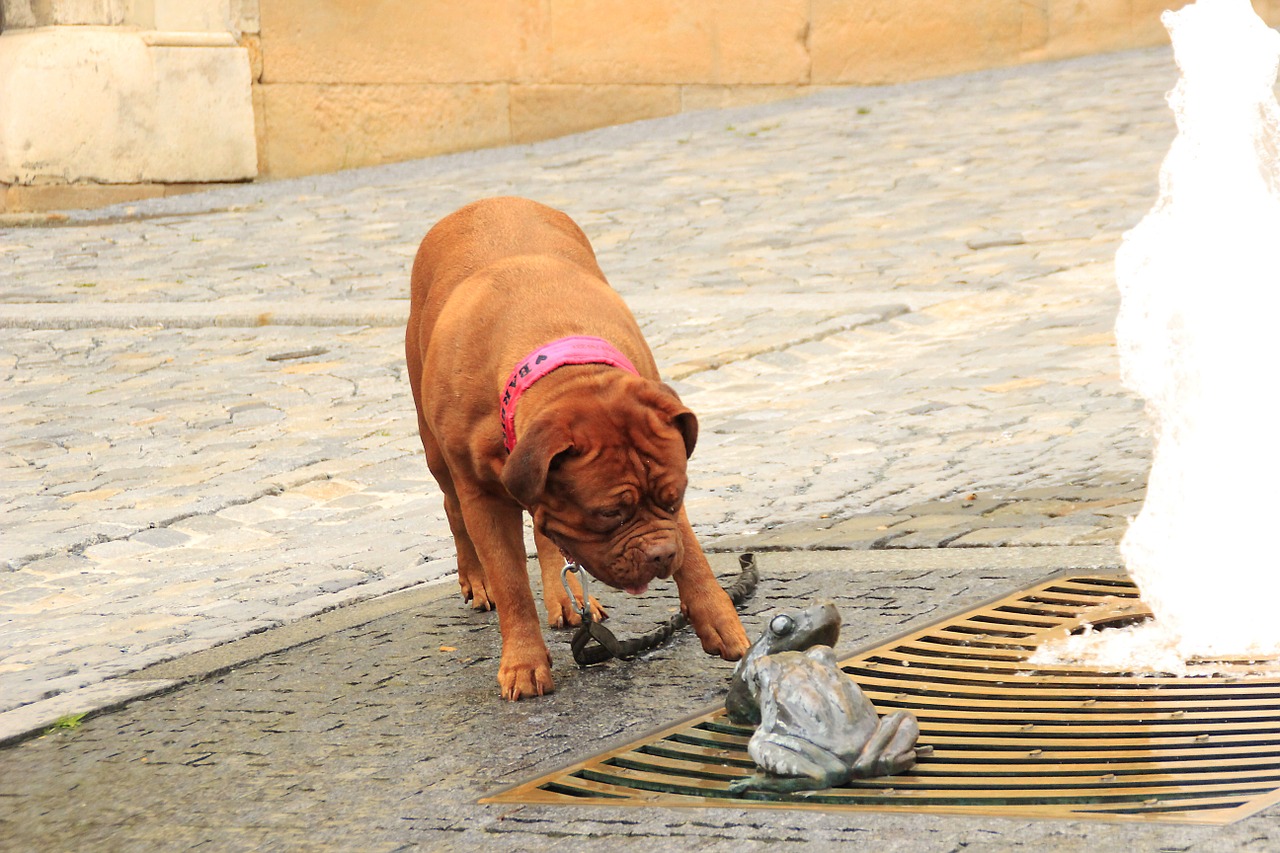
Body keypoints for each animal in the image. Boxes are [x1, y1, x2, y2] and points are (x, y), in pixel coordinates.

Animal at [407, 197, 747, 696]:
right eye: (609, 514)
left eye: (674, 498)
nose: (660, 555)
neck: (562, 370)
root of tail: (484, 201)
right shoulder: (483, 496)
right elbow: (511, 583)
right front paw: (524, 662)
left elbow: (693, 550)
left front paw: (717, 615)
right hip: (435, 449)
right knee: (454, 510)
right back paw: (476, 579)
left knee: (546, 534)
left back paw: (565, 599)